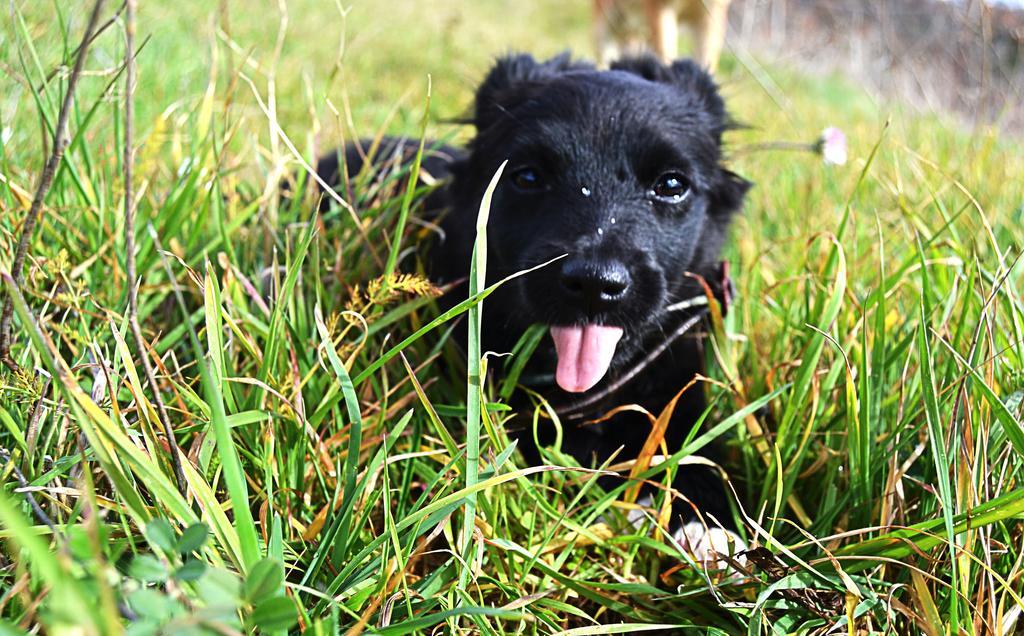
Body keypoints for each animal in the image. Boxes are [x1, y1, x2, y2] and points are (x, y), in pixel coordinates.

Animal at [319, 53, 753, 548]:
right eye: (527, 177)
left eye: (671, 184)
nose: (595, 284)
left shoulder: (678, 383)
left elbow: (697, 446)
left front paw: (709, 524)